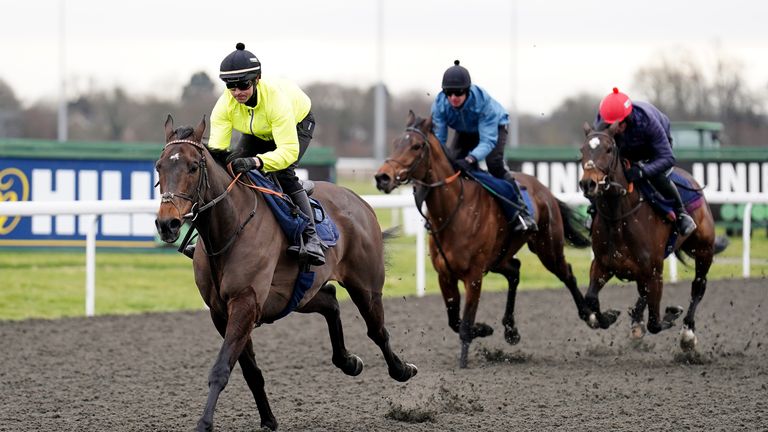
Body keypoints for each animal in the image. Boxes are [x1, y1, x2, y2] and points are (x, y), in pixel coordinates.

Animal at [154, 115, 416, 432]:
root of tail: (359, 200)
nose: (167, 224)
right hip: (297, 294)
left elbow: (221, 369)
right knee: (330, 301)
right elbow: (251, 372)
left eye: (193, 166)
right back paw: (348, 361)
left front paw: (204, 423)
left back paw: (402, 369)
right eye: (159, 166)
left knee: (377, 330)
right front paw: (268, 419)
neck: (230, 228)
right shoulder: (222, 312)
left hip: (365, 286)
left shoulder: (245, 303)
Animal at [580, 121, 724, 352]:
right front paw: (609, 316)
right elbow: (591, 299)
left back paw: (688, 334)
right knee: (643, 294)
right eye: (582, 150)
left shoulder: (654, 270)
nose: (588, 184)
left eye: (609, 149)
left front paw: (672, 314)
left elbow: (655, 322)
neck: (618, 218)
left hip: (704, 250)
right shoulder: (604, 264)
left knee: (698, 287)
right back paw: (637, 321)